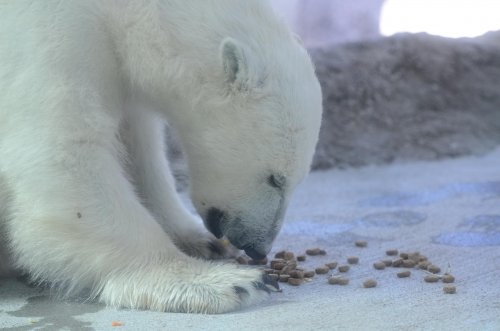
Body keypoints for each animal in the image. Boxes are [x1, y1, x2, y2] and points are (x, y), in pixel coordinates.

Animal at [0, 0, 320, 316]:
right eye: (276, 179)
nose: (258, 247)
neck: (124, 11)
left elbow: (137, 149)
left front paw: (201, 241)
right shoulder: (48, 34)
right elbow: (65, 149)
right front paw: (226, 282)